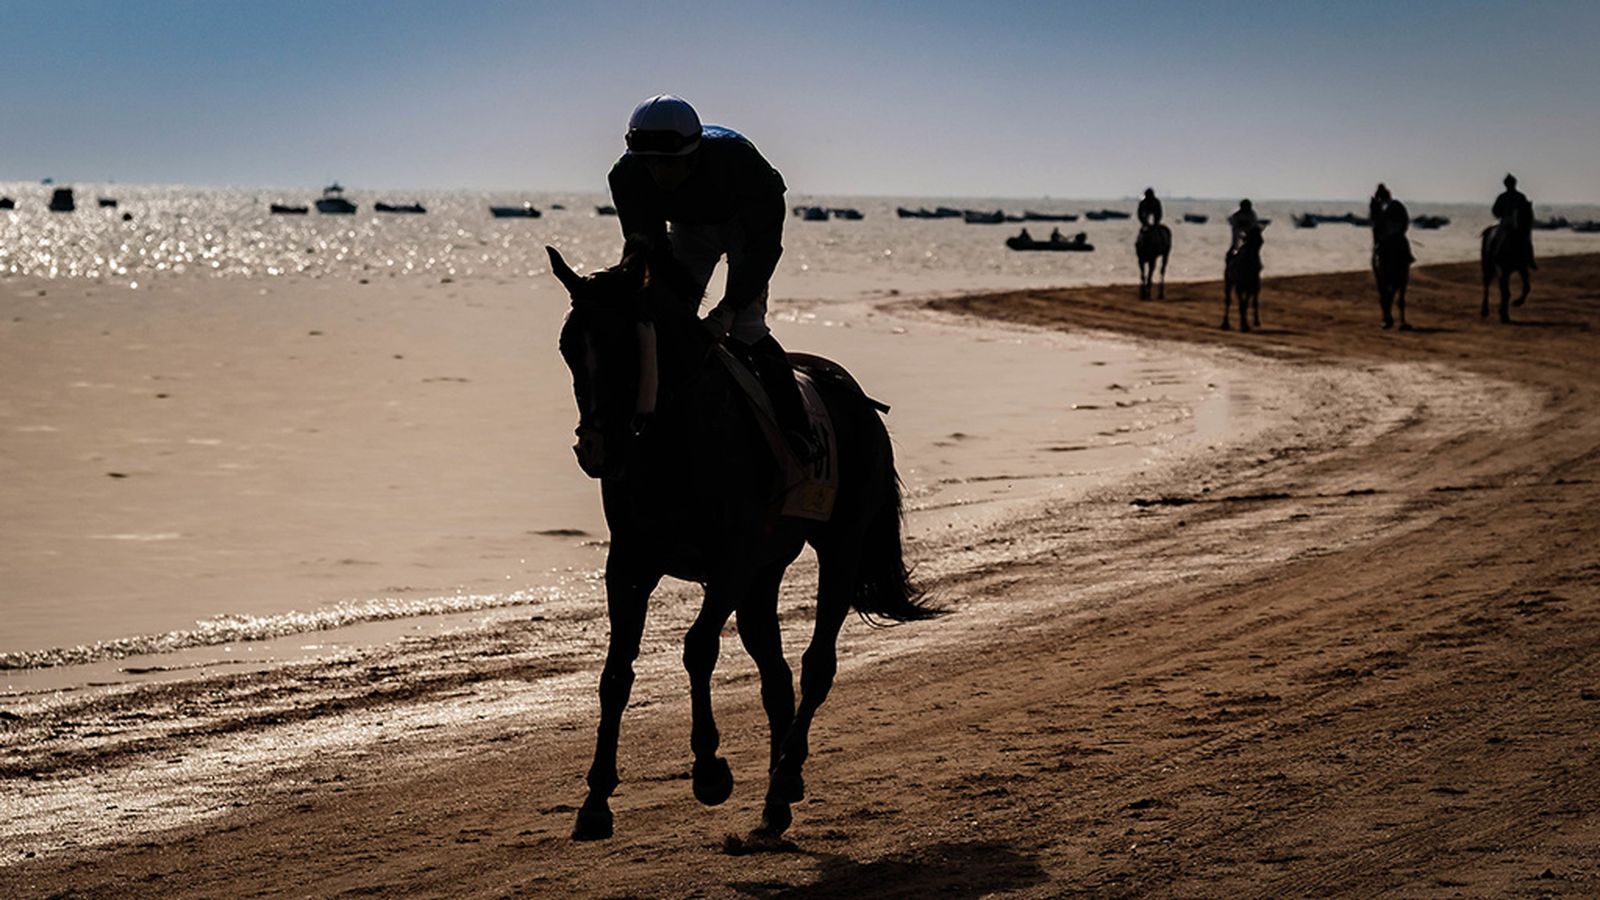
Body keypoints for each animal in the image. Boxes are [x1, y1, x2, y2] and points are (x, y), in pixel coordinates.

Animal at [547, 240, 939, 844]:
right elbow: (616, 672)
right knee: (775, 675)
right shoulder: (631, 563)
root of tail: (857, 398)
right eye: (569, 346)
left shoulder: (732, 561)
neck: (672, 437)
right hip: (765, 576)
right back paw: (779, 797)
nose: (597, 450)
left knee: (816, 663)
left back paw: (784, 779)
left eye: (621, 344)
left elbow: (698, 647)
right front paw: (595, 801)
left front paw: (709, 769)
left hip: (839, 546)